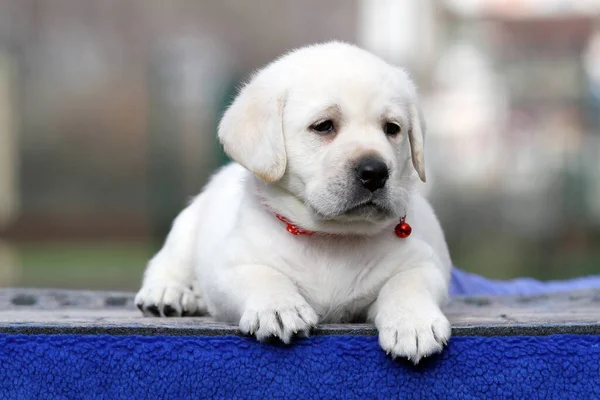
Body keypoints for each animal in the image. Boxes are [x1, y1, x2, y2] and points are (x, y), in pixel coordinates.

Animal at [136, 40, 452, 362]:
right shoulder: (231, 264)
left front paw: (413, 322)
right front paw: (278, 307)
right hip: (187, 227)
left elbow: (407, 283)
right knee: (167, 262)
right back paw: (168, 293)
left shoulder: (423, 262)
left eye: (392, 129)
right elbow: (262, 275)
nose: (375, 172)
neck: (332, 237)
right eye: (323, 126)